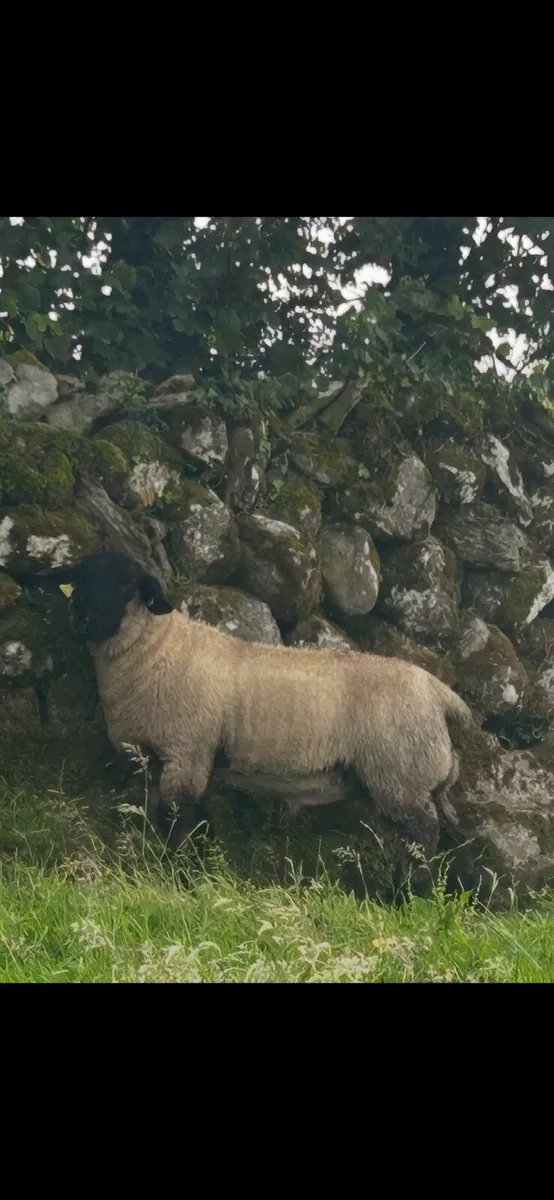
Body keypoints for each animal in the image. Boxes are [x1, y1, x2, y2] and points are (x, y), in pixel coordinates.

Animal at [16, 549, 473, 854]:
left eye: (127, 584)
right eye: (80, 576)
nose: (81, 617)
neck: (156, 648)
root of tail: (440, 692)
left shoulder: (186, 752)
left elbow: (178, 818)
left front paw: (173, 869)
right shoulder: (148, 754)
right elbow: (148, 808)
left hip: (402, 777)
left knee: (423, 842)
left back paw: (408, 897)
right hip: (407, 782)